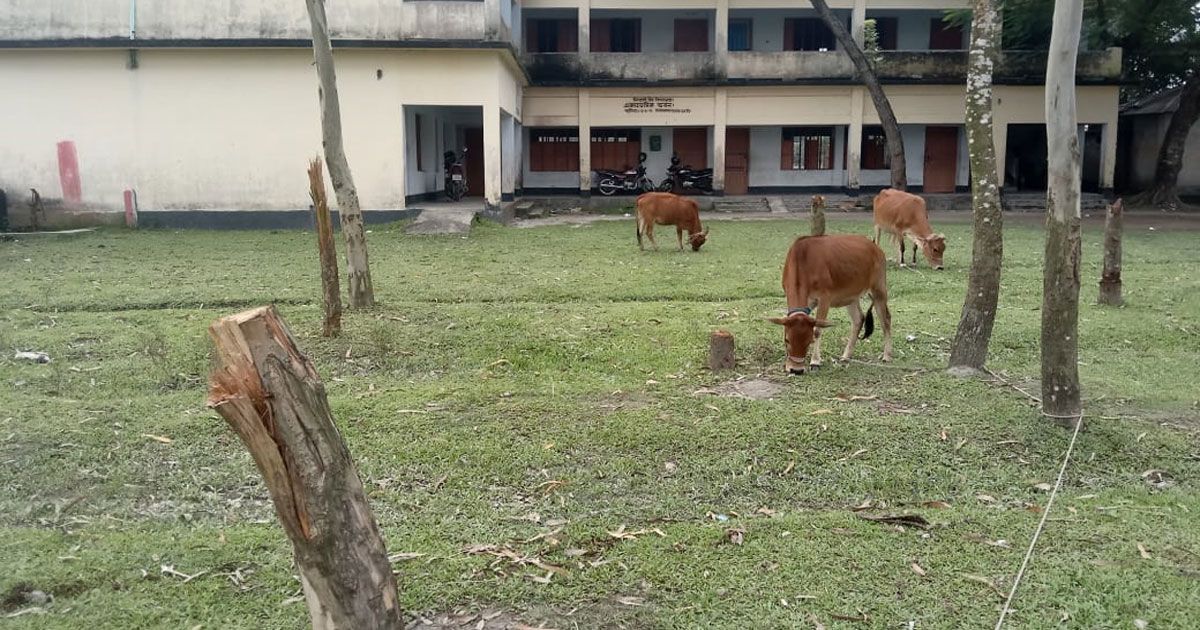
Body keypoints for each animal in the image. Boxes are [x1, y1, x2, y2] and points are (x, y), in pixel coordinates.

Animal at [768, 234, 892, 374]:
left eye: (809, 341)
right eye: (787, 340)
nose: (796, 369)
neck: (804, 261)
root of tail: (875, 247)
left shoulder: (825, 298)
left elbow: (817, 330)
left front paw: (815, 361)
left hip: (879, 289)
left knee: (886, 319)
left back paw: (887, 355)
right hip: (851, 295)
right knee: (859, 318)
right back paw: (845, 356)